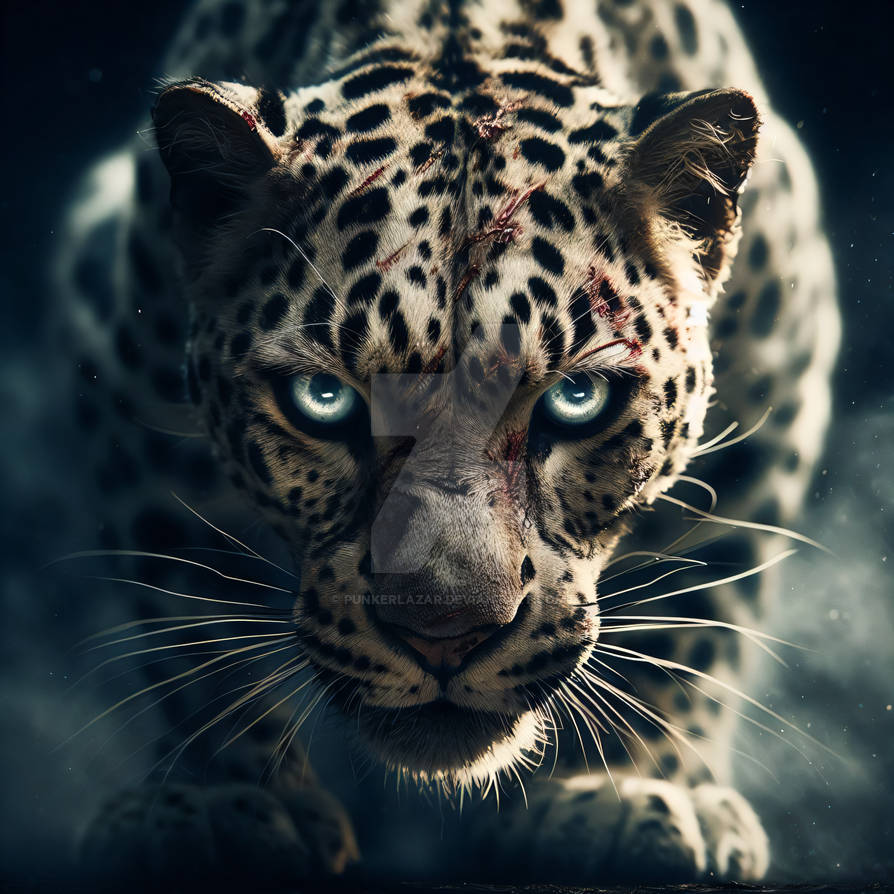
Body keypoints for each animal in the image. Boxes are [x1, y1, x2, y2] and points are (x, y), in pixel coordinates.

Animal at [48, 0, 840, 889]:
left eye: (578, 400)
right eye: (323, 400)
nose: (445, 633)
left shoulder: (783, 360)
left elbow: (694, 614)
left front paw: (627, 791)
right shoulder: (120, 362)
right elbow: (190, 618)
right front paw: (225, 804)